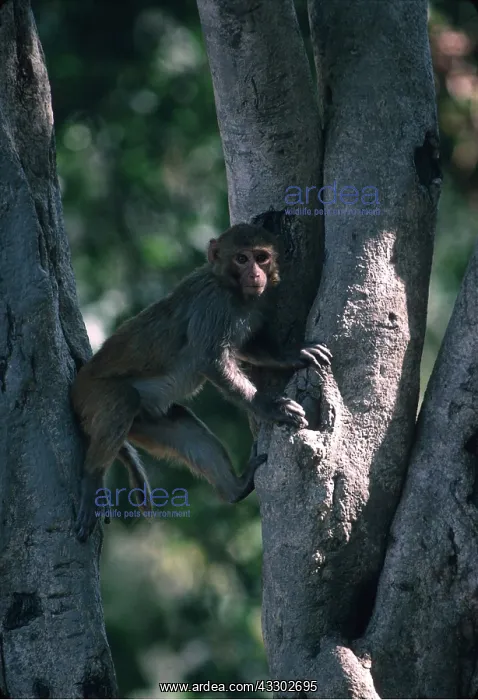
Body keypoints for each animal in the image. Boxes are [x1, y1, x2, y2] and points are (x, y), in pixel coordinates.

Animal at [71, 223, 332, 541]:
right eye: (242, 259)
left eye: (261, 257)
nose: (255, 274)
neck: (232, 290)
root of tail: (77, 383)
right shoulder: (214, 304)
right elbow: (211, 360)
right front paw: (270, 407)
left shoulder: (255, 305)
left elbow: (248, 348)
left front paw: (292, 354)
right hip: (92, 396)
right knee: (122, 399)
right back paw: (91, 478)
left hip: (144, 422)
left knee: (184, 427)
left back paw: (236, 487)